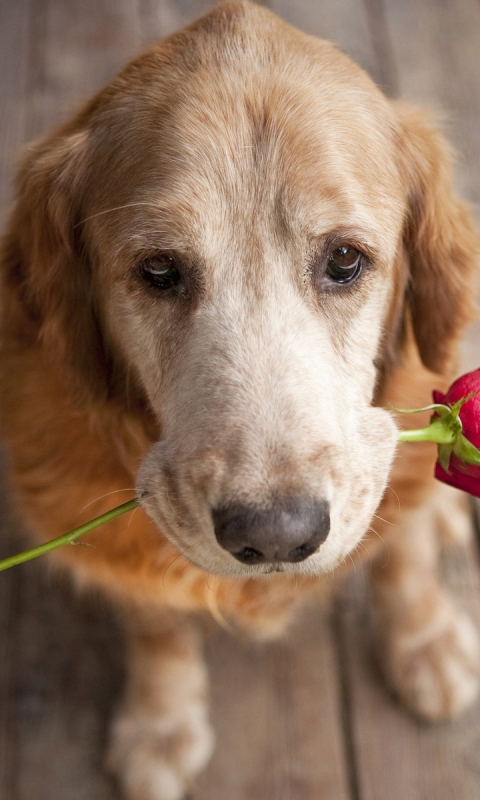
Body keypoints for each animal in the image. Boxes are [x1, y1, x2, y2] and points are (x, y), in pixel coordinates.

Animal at [0, 1, 480, 792]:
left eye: (344, 259)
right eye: (159, 270)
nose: (277, 536)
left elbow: (403, 556)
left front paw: (426, 641)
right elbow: (155, 623)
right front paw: (160, 722)